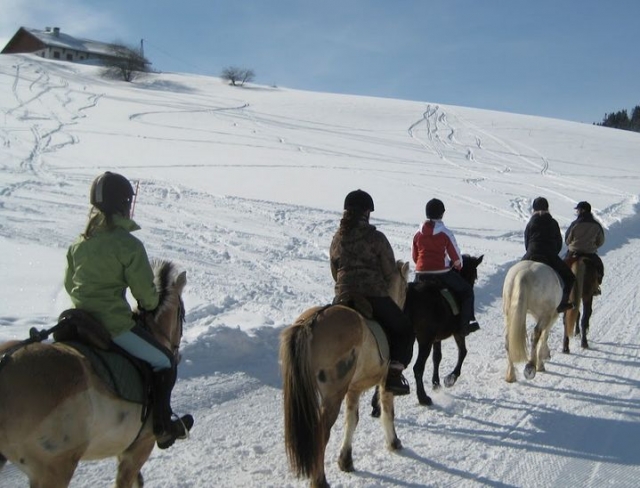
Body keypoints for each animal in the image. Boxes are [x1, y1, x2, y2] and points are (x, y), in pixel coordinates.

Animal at [280, 260, 410, 488]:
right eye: (405, 287)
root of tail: (310, 323)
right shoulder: (384, 382)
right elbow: (388, 412)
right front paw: (394, 442)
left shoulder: (354, 389)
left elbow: (352, 420)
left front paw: (346, 460)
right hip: (333, 393)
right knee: (321, 432)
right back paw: (319, 480)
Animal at [370, 254, 484, 413]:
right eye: (475, 274)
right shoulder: (456, 332)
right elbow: (463, 352)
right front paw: (451, 378)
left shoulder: (436, 338)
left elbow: (437, 357)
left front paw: (436, 383)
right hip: (424, 340)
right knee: (418, 367)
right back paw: (423, 398)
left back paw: (377, 405)